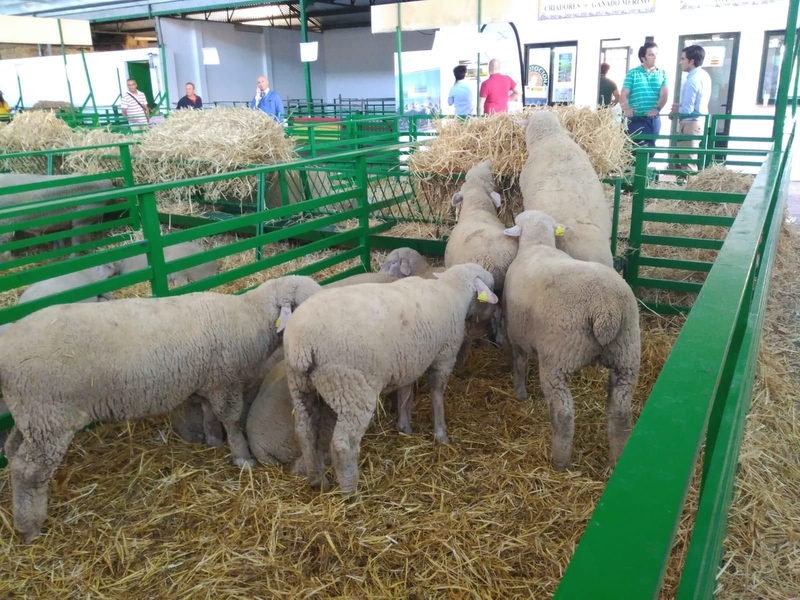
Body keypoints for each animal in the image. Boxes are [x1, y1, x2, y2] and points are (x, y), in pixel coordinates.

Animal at [3, 274, 324, 540]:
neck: (249, 317)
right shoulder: (225, 381)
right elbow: (231, 420)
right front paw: (242, 457)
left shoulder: (209, 380)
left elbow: (209, 413)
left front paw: (212, 440)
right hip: (49, 418)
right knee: (28, 471)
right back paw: (29, 527)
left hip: (30, 416)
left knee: (12, 451)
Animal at [280, 262, 494, 492]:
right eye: (490, 288)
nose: (495, 310)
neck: (451, 291)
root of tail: (301, 344)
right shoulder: (444, 357)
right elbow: (436, 395)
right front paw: (441, 434)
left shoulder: (410, 361)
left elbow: (405, 394)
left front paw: (404, 426)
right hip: (352, 389)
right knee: (342, 445)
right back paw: (350, 491)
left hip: (300, 385)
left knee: (305, 430)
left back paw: (318, 480)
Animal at [504, 209, 640, 472]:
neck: (537, 245)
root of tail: (605, 309)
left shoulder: (516, 336)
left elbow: (519, 363)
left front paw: (520, 392)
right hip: (626, 354)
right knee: (620, 410)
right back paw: (617, 458)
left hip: (558, 360)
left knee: (563, 414)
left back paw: (559, 461)